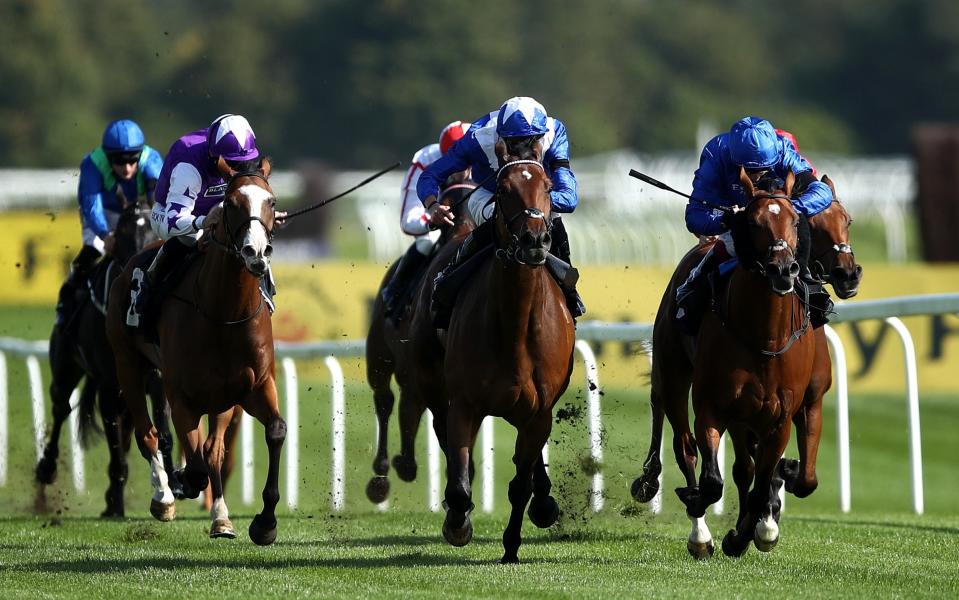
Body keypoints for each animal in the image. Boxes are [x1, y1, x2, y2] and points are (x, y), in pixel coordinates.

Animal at [35, 193, 175, 516]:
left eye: (152, 232)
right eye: (122, 232)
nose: (136, 280)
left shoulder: (156, 377)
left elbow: (161, 429)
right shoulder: (111, 385)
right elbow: (116, 444)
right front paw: (117, 503)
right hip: (66, 367)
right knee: (61, 408)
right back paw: (47, 468)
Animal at [107, 158, 284, 544]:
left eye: (272, 202)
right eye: (231, 203)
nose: (256, 253)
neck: (223, 313)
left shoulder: (252, 387)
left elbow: (272, 432)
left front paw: (264, 523)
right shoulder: (180, 396)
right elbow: (194, 463)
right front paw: (179, 482)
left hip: (220, 399)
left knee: (212, 451)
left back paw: (220, 517)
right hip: (127, 365)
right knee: (148, 434)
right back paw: (164, 497)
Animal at [406, 139, 572, 564]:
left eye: (548, 187)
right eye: (503, 189)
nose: (534, 240)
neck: (514, 327)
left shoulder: (539, 412)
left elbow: (521, 483)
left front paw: (512, 546)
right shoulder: (465, 404)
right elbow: (460, 481)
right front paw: (458, 524)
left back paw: (544, 504)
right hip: (433, 382)